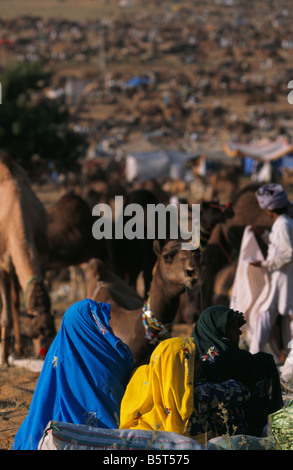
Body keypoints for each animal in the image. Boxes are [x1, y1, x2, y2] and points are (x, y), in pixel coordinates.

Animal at [0, 154, 56, 364]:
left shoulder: (43, 256)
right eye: (34, 333)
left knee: (16, 301)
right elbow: (6, 315)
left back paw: (17, 347)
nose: (43, 351)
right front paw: (4, 359)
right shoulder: (2, 265)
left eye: (52, 332)